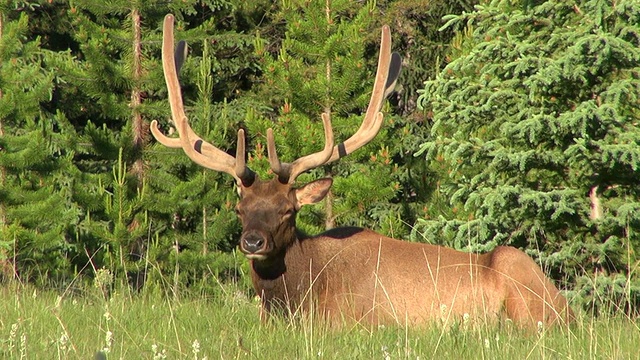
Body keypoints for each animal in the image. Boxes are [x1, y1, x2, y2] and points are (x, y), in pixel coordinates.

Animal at [151, 14, 576, 330]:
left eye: (288, 210)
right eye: (241, 209)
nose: (252, 241)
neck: (296, 295)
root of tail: (571, 312)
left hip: (518, 275)